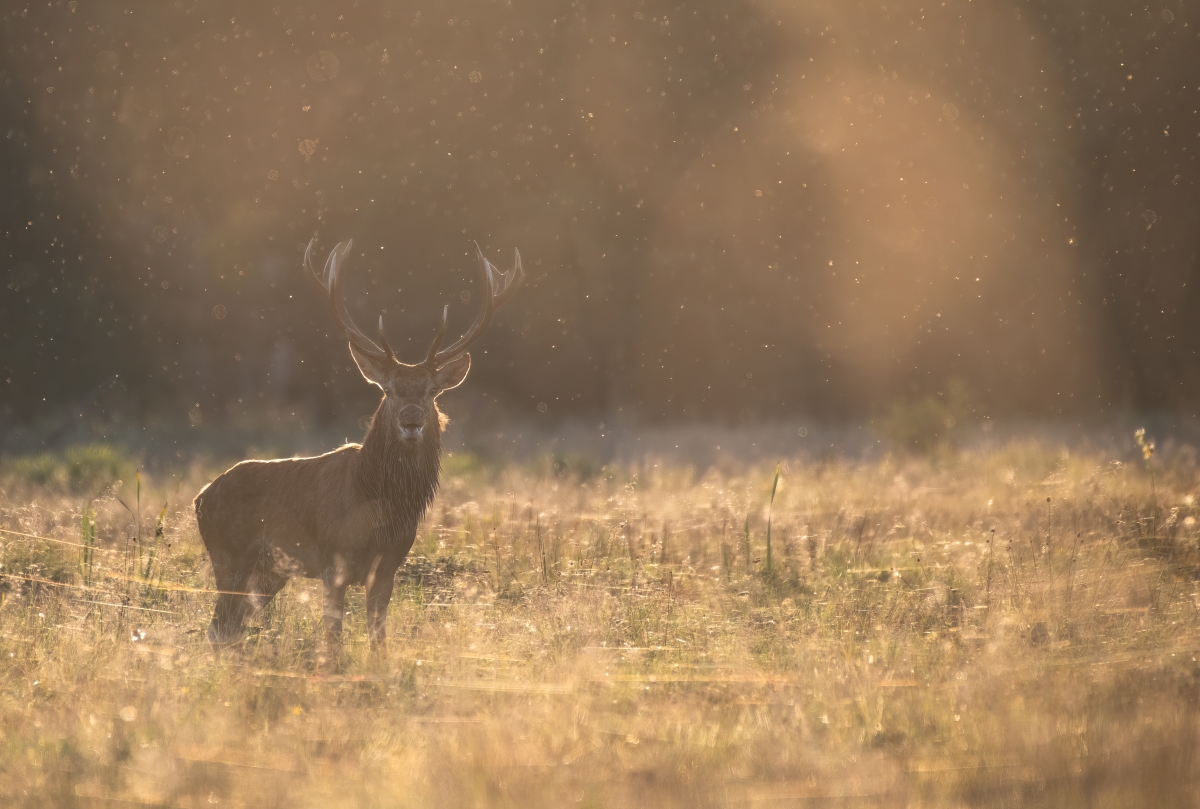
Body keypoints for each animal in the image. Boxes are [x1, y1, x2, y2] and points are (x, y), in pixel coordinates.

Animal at [193, 237, 523, 652]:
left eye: (432, 391)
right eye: (388, 389)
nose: (411, 420)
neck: (380, 510)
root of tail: (200, 496)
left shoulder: (390, 565)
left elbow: (378, 636)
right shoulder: (333, 563)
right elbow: (334, 639)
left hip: (269, 572)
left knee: (230, 628)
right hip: (229, 556)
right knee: (218, 628)